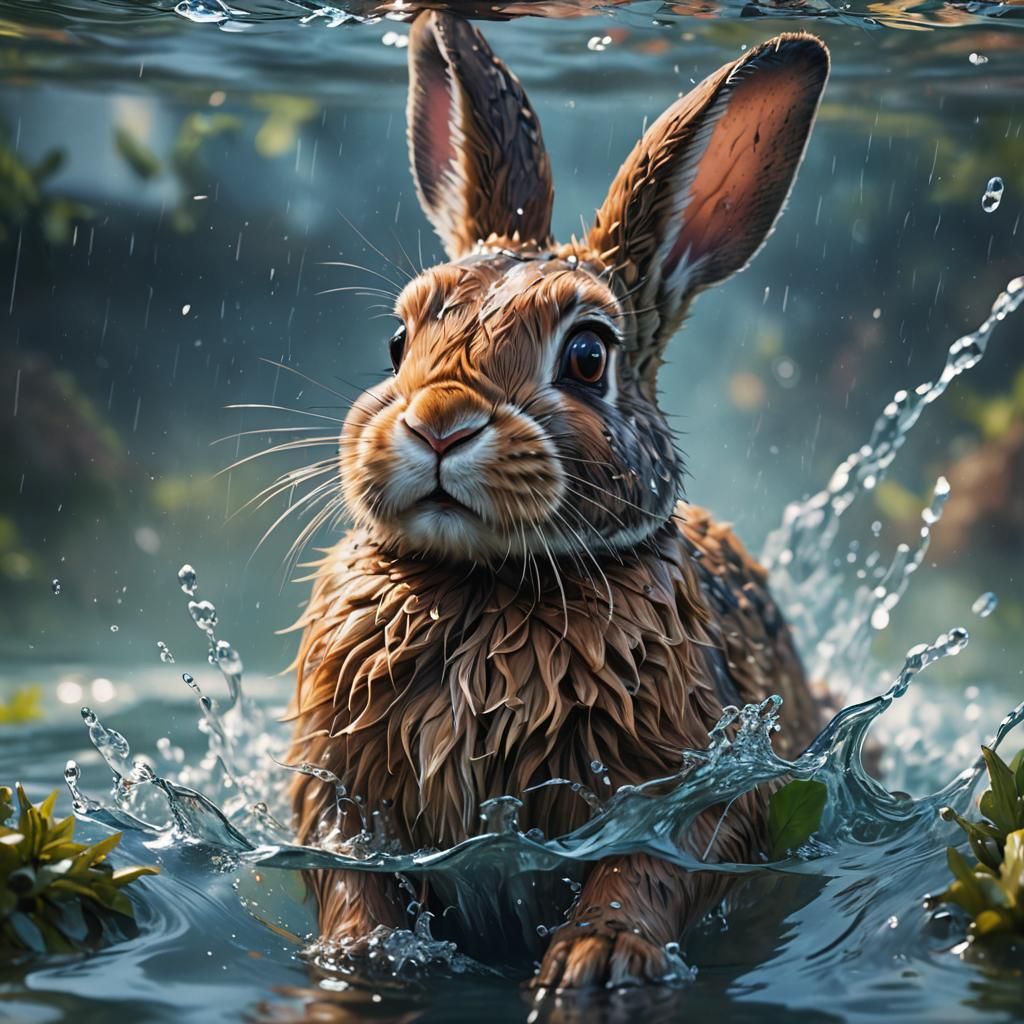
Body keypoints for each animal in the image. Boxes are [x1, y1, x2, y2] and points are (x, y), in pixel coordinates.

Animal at [287, 11, 830, 990]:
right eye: (397, 343)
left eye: (586, 358)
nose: (439, 423)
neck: (481, 586)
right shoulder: (337, 789)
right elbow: (348, 870)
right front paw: (362, 958)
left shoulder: (699, 783)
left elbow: (650, 865)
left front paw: (596, 959)